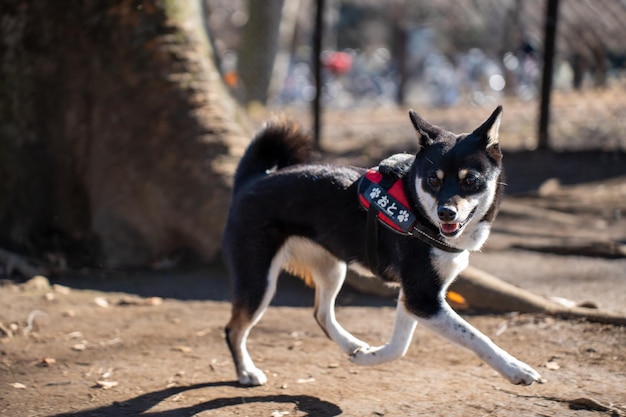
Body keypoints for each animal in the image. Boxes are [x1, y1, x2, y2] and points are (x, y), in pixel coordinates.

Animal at [222, 105, 540, 386]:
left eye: (470, 180)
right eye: (433, 180)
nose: (446, 213)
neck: (417, 212)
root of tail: (252, 180)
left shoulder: (414, 296)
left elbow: (400, 345)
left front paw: (369, 357)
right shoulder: (422, 298)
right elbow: (478, 337)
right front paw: (516, 369)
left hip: (331, 269)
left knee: (321, 314)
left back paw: (351, 344)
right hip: (259, 280)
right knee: (233, 329)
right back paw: (246, 372)